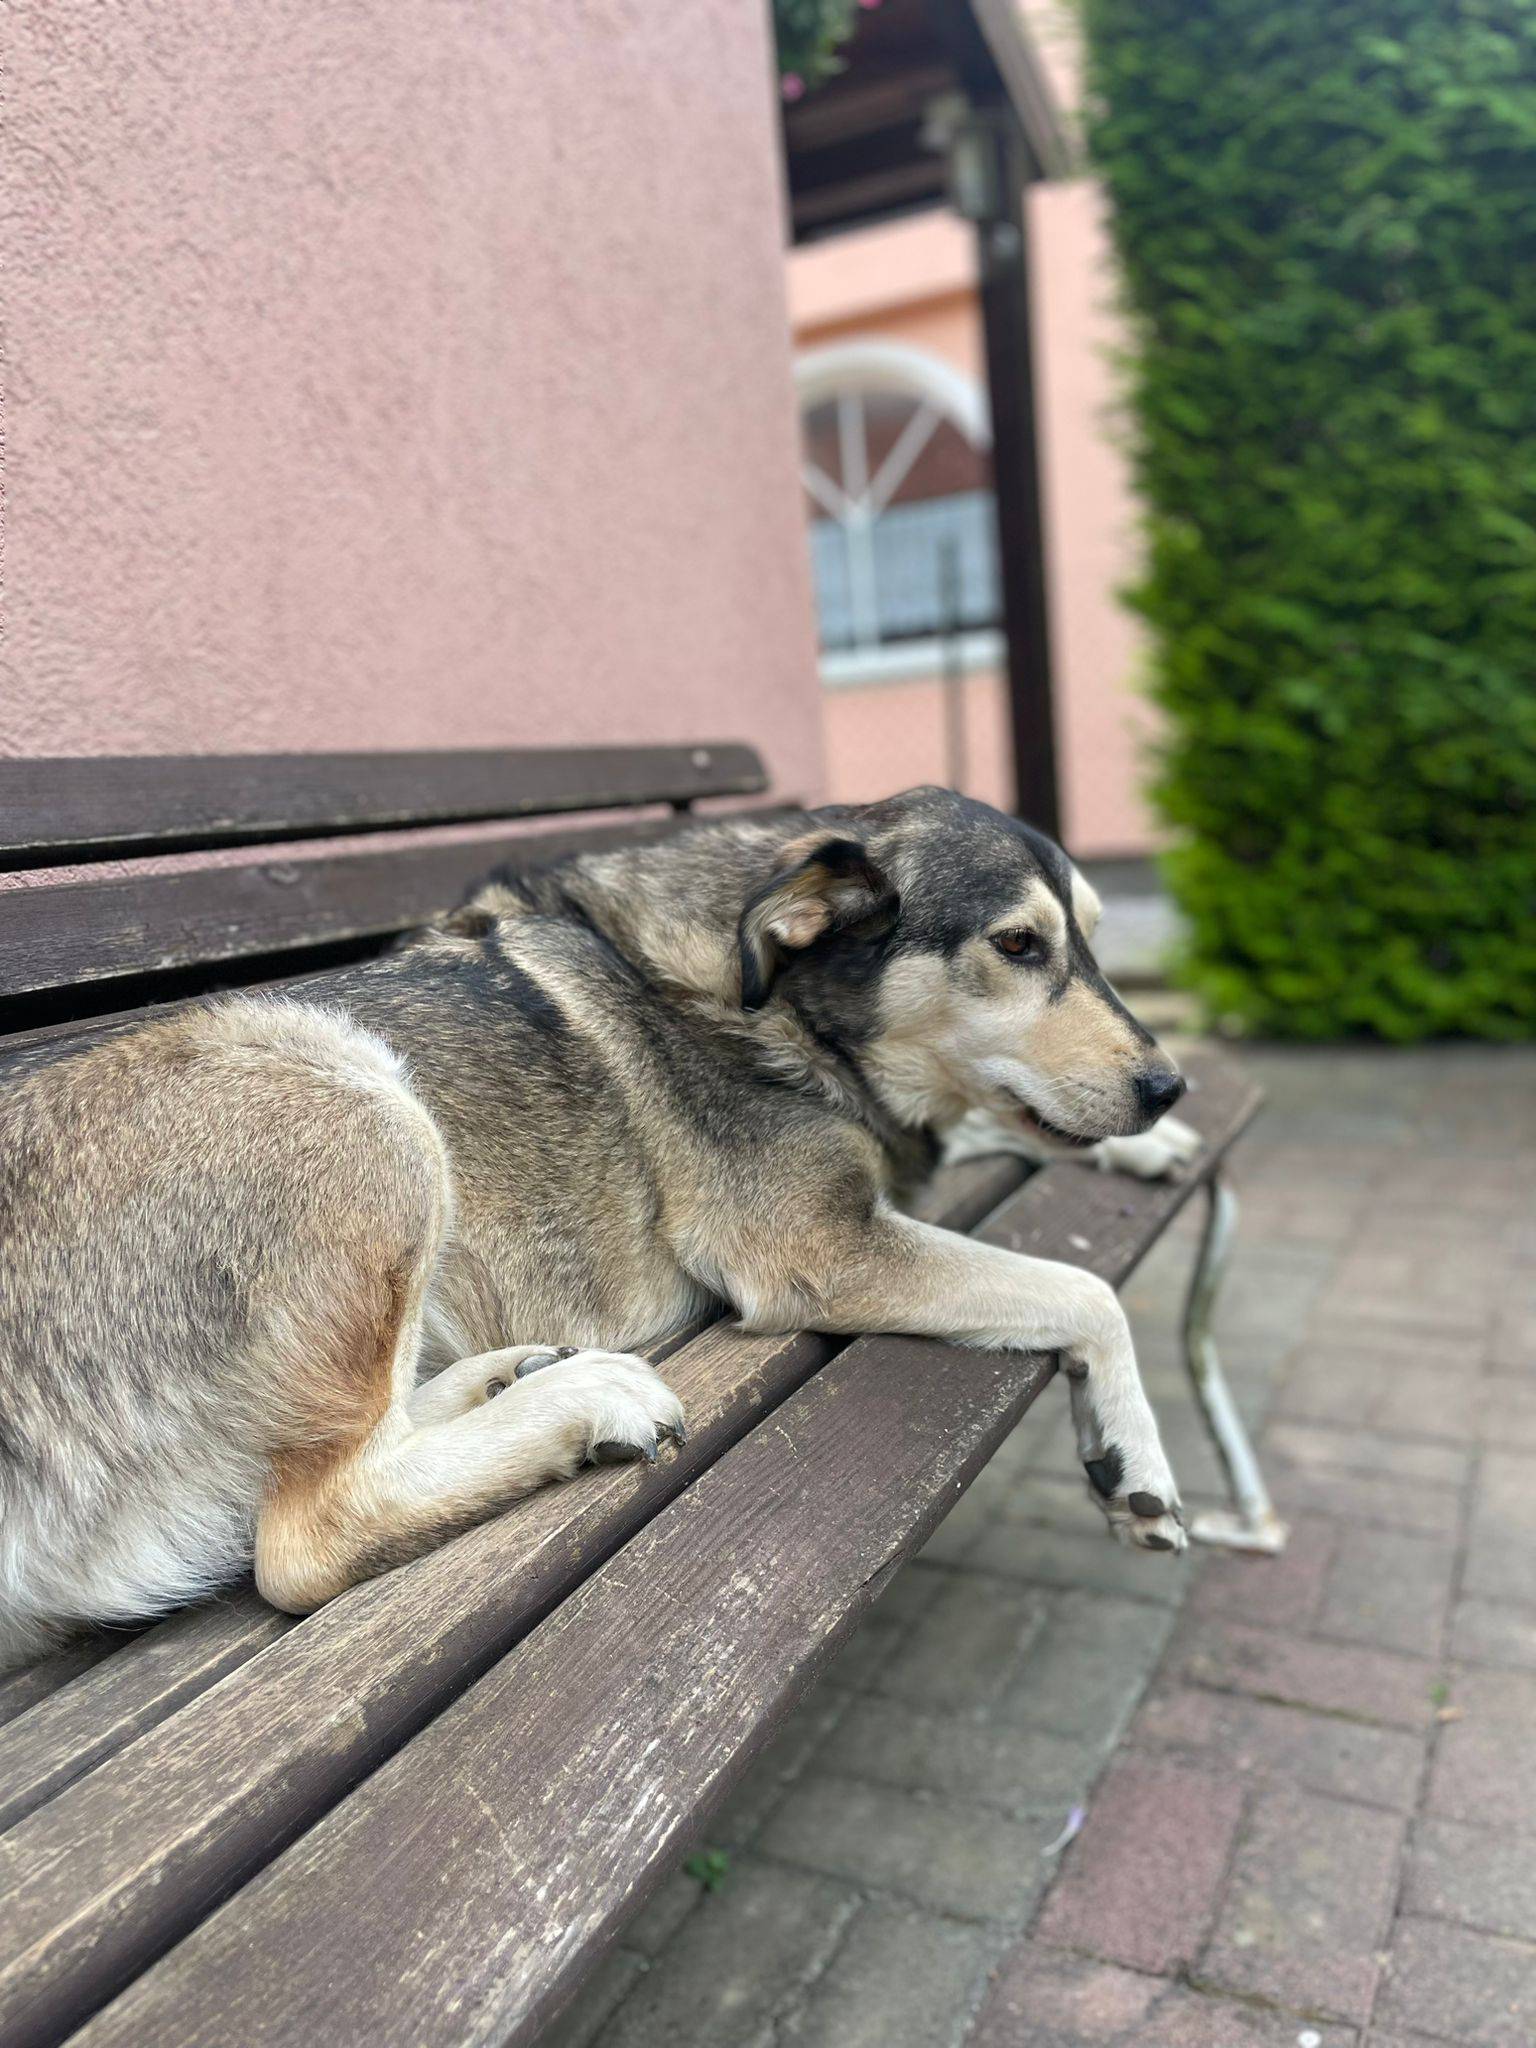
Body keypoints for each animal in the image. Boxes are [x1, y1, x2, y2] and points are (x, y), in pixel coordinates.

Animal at [0, 790, 1204, 1671]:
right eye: (1019, 944)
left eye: (1092, 944)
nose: (1167, 1085)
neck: (771, 993)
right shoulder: (820, 1250)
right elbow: (1082, 1290)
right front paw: (1136, 1456)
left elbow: (1005, 1140)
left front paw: (1150, 1150)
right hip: (358, 1098)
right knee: (306, 1531)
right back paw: (577, 1403)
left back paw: (507, 1379)